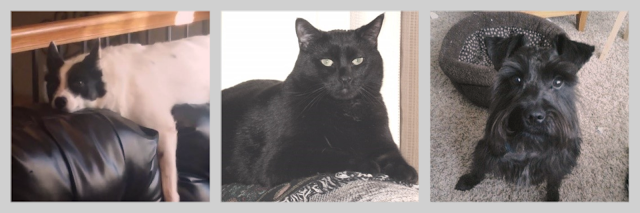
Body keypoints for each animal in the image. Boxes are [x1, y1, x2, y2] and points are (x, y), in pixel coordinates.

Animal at [45, 35, 210, 201]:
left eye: (79, 83)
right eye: (52, 85)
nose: (59, 101)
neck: (110, 78)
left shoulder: (165, 130)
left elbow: (168, 175)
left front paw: (172, 198)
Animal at [222, 13, 418, 187]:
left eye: (358, 60)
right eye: (327, 61)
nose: (345, 78)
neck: (345, 110)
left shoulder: (382, 143)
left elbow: (392, 156)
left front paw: (407, 171)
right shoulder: (278, 160)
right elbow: (328, 154)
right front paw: (367, 164)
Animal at [456, 33, 596, 201]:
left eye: (558, 81)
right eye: (516, 79)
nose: (534, 116)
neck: (530, 145)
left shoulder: (558, 163)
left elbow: (554, 181)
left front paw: (552, 196)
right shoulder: (487, 149)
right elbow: (479, 167)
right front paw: (469, 180)